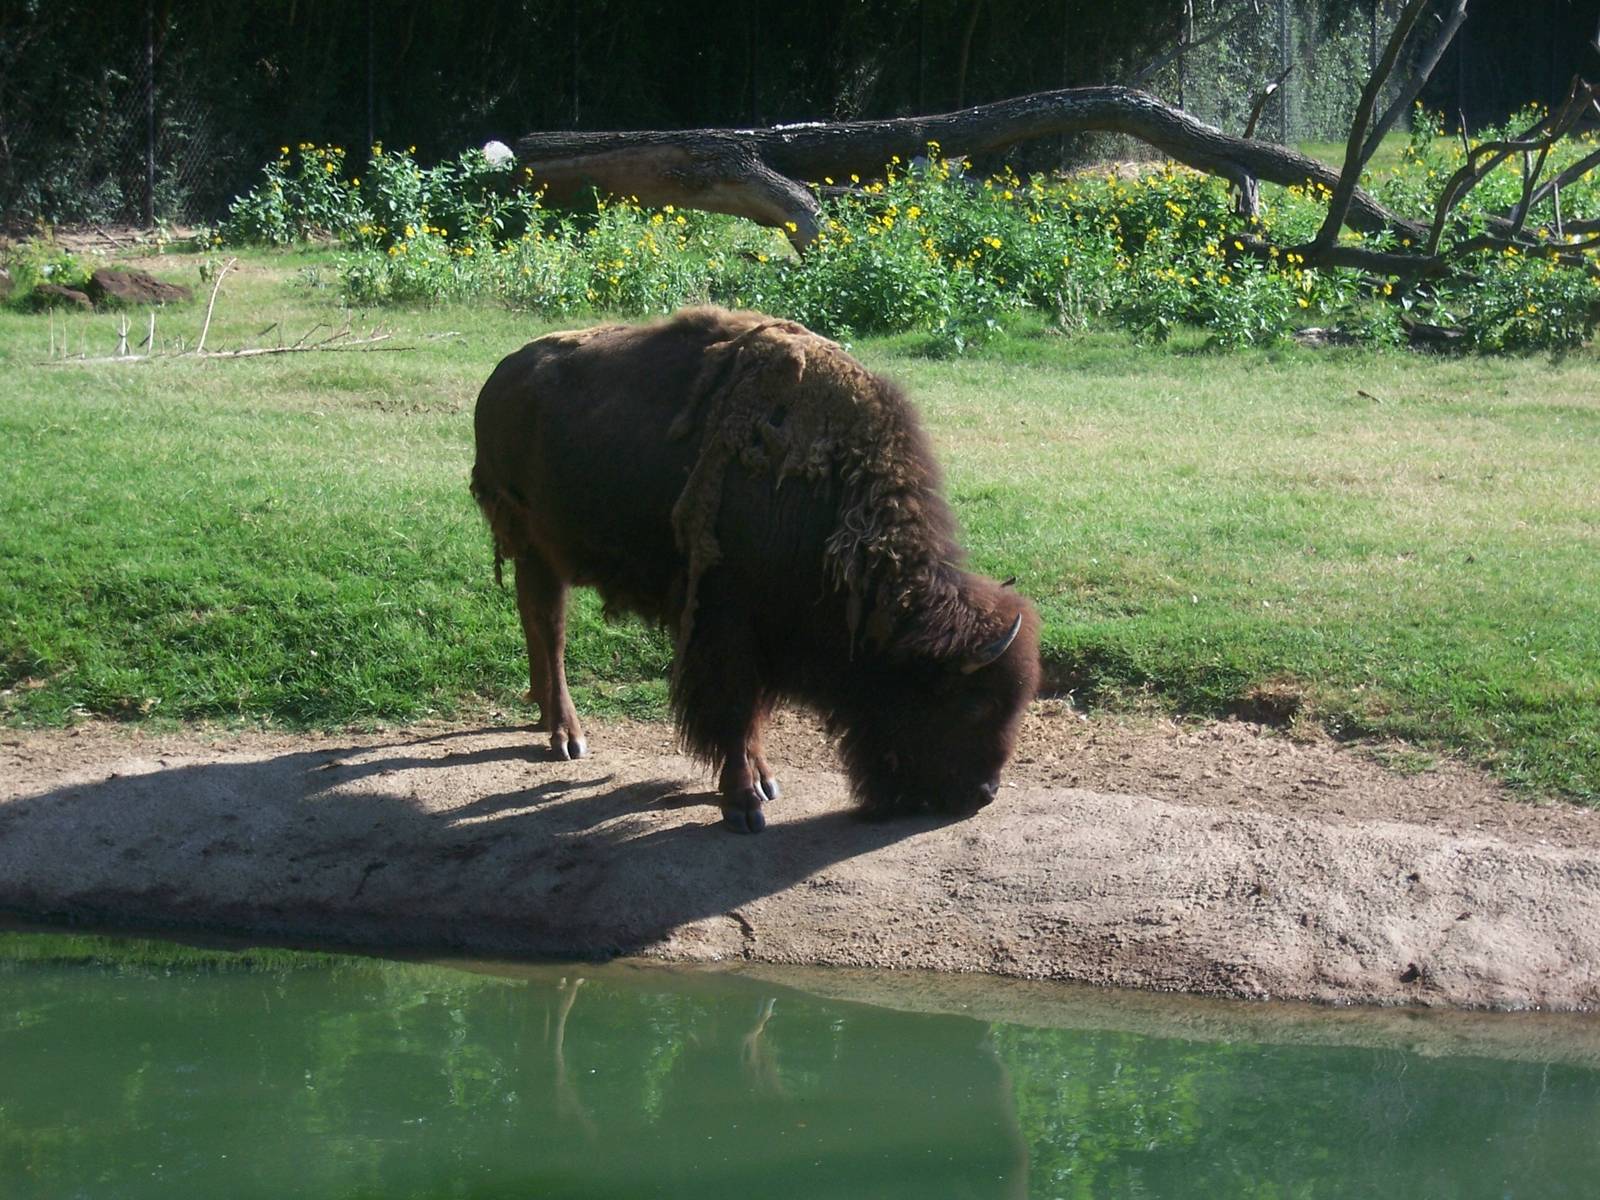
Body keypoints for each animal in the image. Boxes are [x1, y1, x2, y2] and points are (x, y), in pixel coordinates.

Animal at [471, 307, 1039, 832]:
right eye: (973, 705)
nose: (983, 794)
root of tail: (502, 374)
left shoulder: (763, 628)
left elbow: (754, 715)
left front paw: (766, 780)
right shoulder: (727, 624)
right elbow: (733, 712)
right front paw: (743, 804)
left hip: (546, 554)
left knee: (537, 621)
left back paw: (546, 715)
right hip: (535, 545)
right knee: (550, 629)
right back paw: (566, 736)